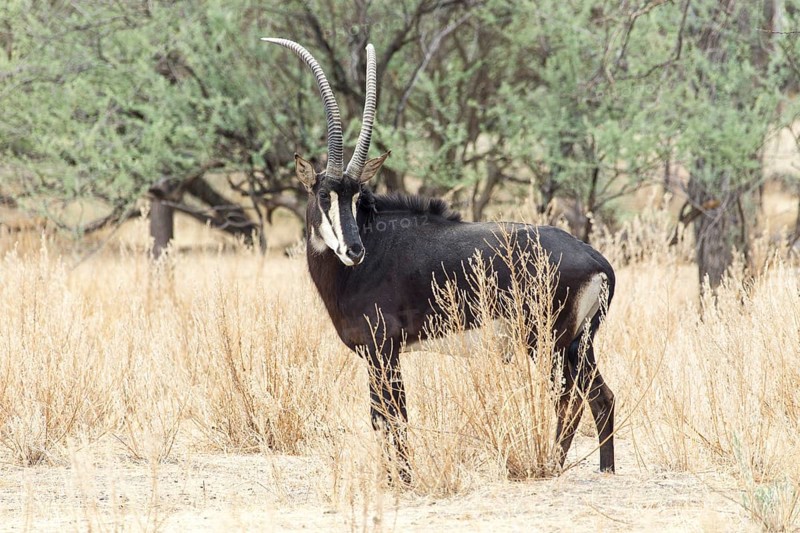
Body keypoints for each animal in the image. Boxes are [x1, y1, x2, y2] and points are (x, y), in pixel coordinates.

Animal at [263, 38, 616, 482]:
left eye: (358, 196)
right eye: (324, 195)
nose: (354, 251)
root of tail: (596, 260)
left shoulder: (383, 349)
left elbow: (390, 416)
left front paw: (402, 480)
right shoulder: (383, 354)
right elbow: (388, 415)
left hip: (550, 342)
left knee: (568, 401)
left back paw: (552, 466)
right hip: (578, 344)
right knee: (602, 397)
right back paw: (606, 471)